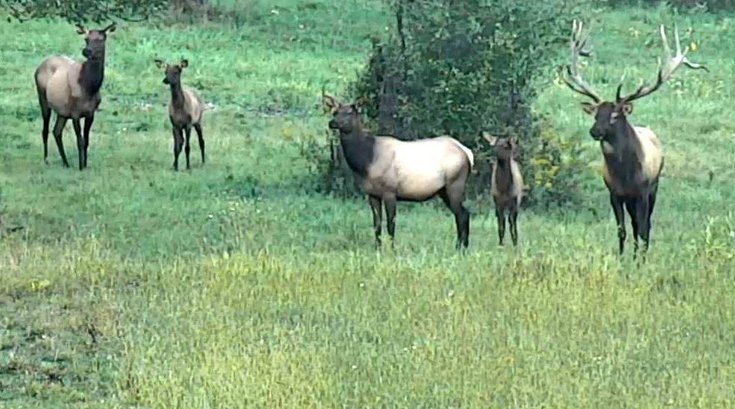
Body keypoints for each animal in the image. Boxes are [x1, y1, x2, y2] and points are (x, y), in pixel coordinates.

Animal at [34, 22, 116, 170]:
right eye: (86, 39)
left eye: (101, 39)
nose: (86, 51)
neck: (89, 88)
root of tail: (39, 66)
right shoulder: (75, 113)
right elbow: (79, 140)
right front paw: (80, 167)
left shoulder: (90, 113)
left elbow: (87, 140)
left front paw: (85, 165)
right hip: (42, 98)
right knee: (45, 130)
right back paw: (46, 160)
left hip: (62, 111)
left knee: (56, 131)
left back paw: (65, 163)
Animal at [322, 91, 474, 250]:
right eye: (335, 112)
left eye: (350, 112)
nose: (332, 123)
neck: (366, 162)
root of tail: (467, 153)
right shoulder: (372, 194)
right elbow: (377, 224)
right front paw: (377, 249)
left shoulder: (390, 191)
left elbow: (391, 224)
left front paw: (392, 250)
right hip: (443, 190)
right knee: (462, 214)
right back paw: (461, 246)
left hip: (455, 183)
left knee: (462, 214)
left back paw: (461, 248)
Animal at [560, 20, 707, 257]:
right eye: (595, 114)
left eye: (614, 115)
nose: (594, 131)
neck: (625, 176)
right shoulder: (614, 193)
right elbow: (622, 230)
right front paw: (623, 258)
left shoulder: (643, 191)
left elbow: (644, 228)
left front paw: (641, 261)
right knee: (634, 224)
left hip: (655, 186)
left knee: (644, 224)